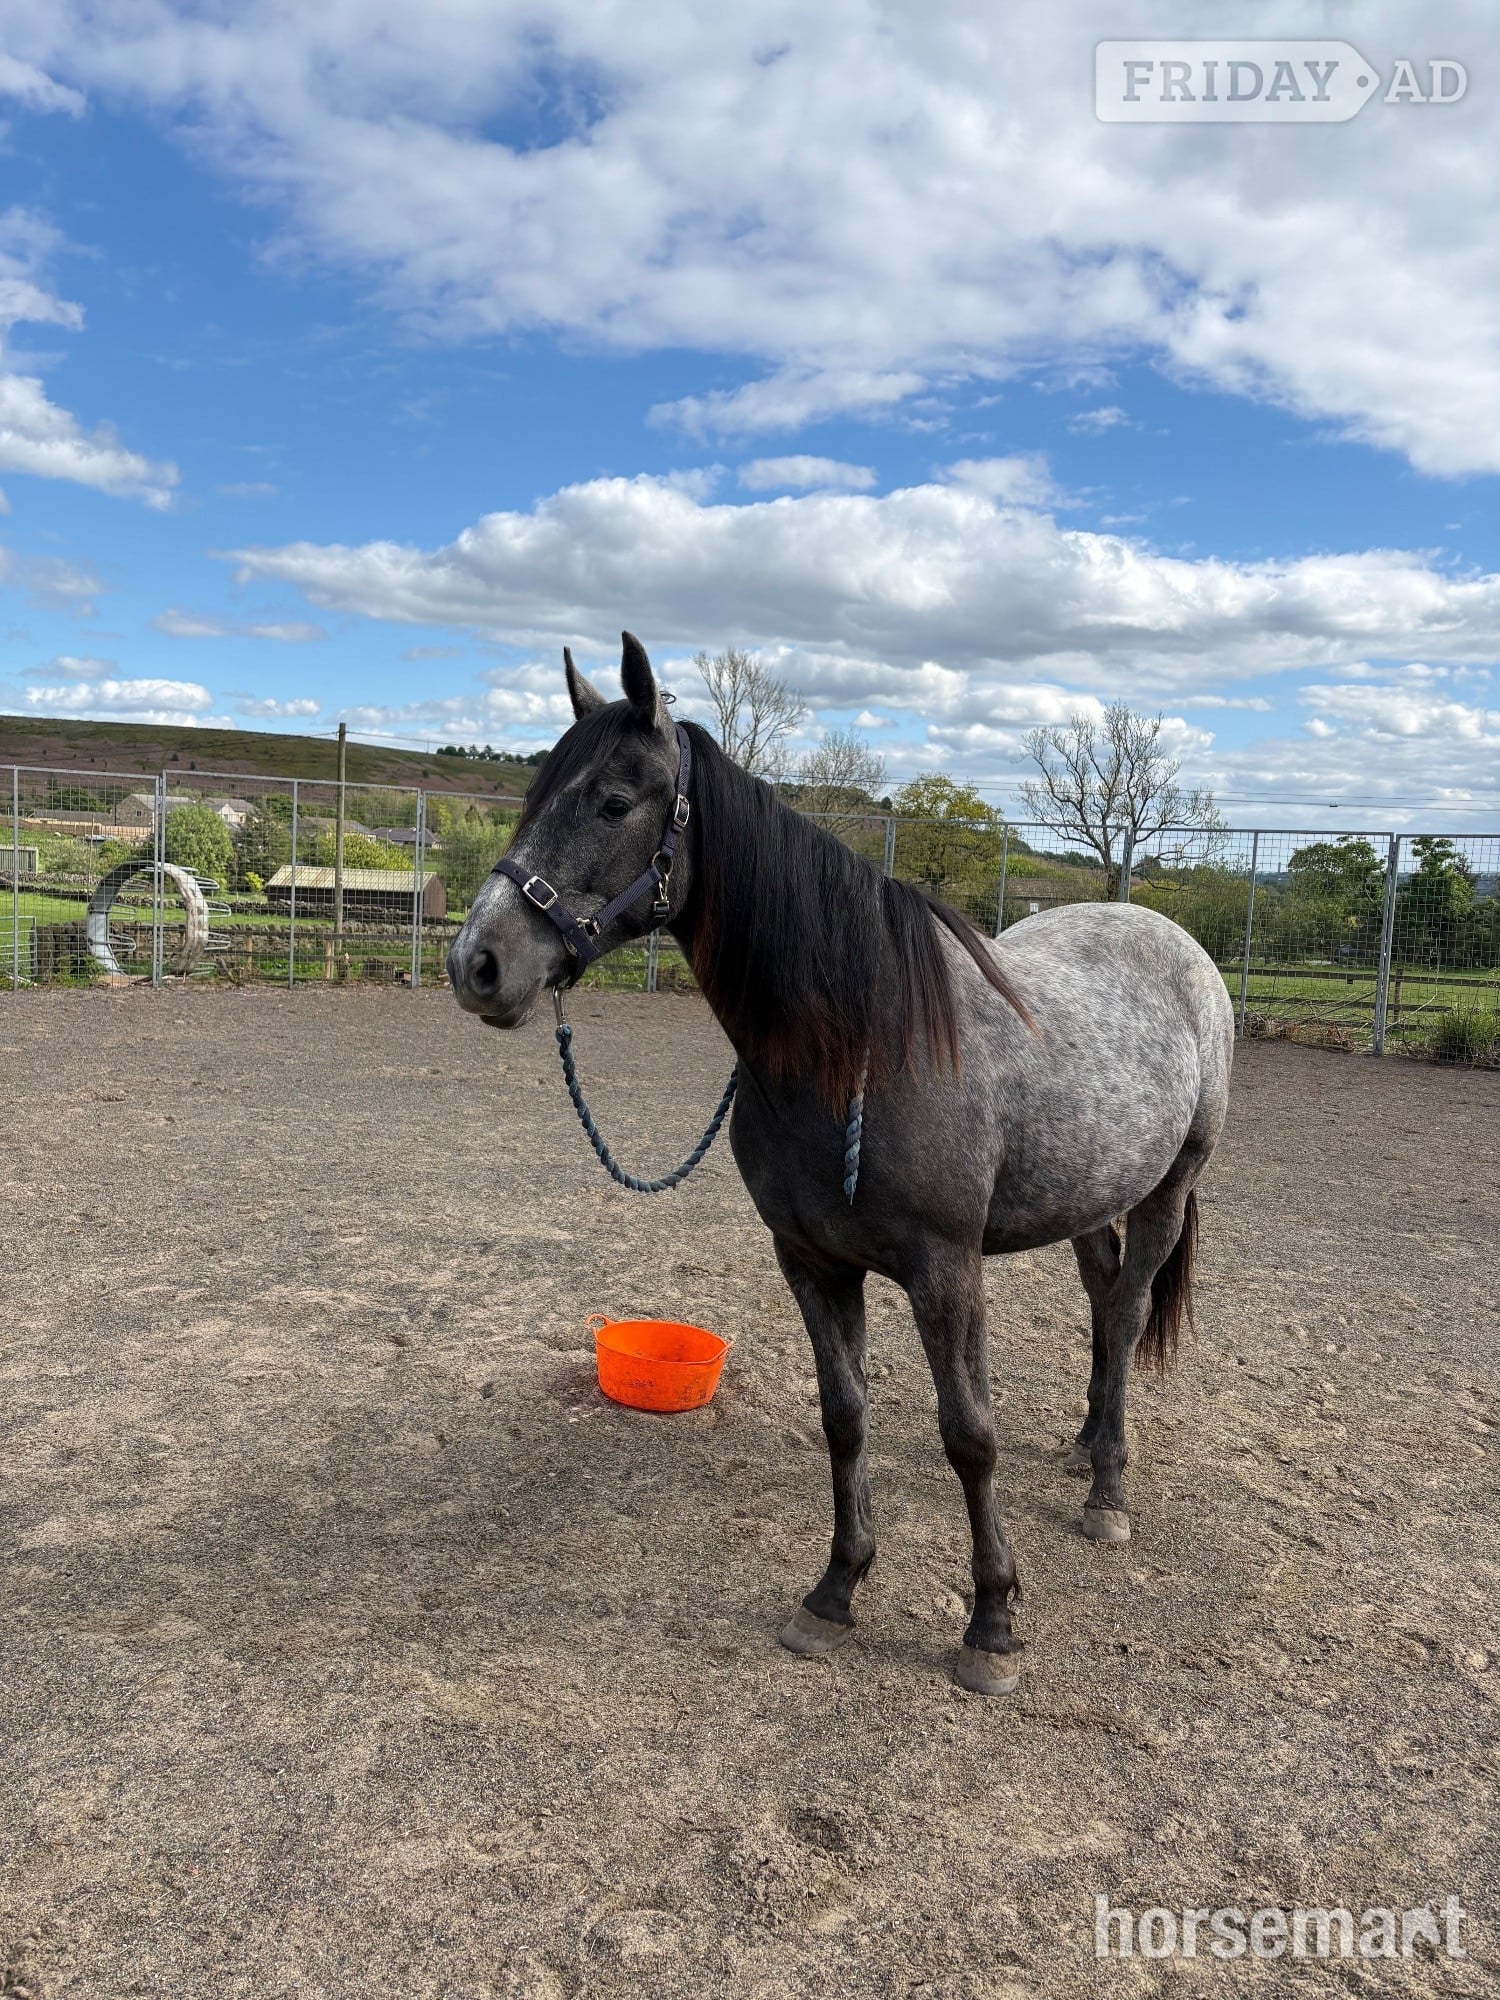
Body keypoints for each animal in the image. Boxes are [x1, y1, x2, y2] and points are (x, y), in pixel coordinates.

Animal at [448, 633, 1233, 1696]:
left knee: (1132, 1306)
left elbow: (968, 1436)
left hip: (1168, 1189)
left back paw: (1108, 1488)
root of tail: (1173, 940)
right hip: (1087, 1201)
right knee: (1107, 1303)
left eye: (612, 801)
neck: (859, 1044)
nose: (477, 963)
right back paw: (1082, 1448)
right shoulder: (813, 1263)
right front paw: (836, 1590)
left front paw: (991, 1623)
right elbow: (846, 1418)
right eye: (534, 794)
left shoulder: (946, 1271)